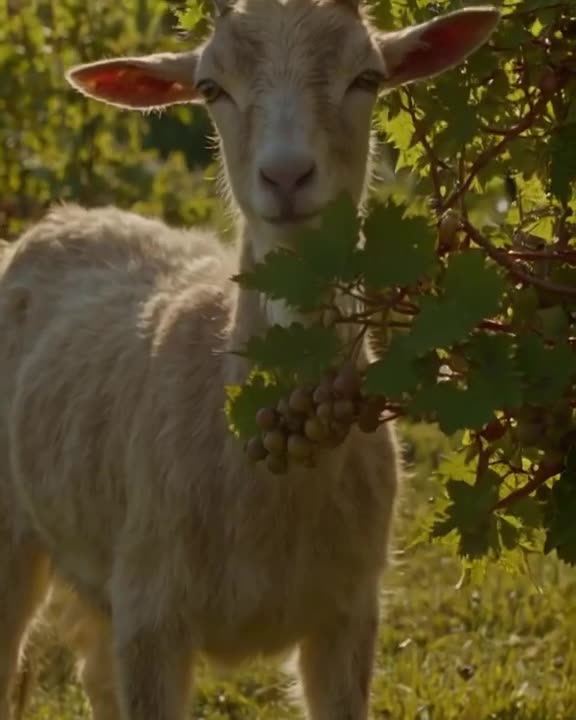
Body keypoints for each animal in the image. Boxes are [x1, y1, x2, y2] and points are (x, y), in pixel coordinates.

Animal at [0, 1, 499, 718]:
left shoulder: (351, 610)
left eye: (368, 77)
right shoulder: (150, 611)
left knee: (94, 674)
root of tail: (62, 217)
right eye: (211, 87)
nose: (286, 176)